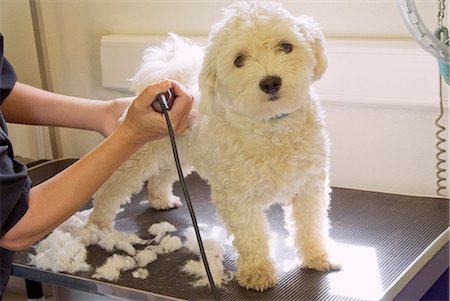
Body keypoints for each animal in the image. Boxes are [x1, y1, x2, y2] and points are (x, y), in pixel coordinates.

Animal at [89, 0, 342, 290]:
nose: (270, 82)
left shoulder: (309, 186)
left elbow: (311, 225)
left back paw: (160, 199)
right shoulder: (237, 196)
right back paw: (98, 224)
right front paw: (257, 271)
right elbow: (251, 235)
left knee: (160, 177)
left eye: (286, 46)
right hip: (134, 155)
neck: (272, 125)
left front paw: (317, 257)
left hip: (176, 156)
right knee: (110, 189)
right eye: (239, 60)